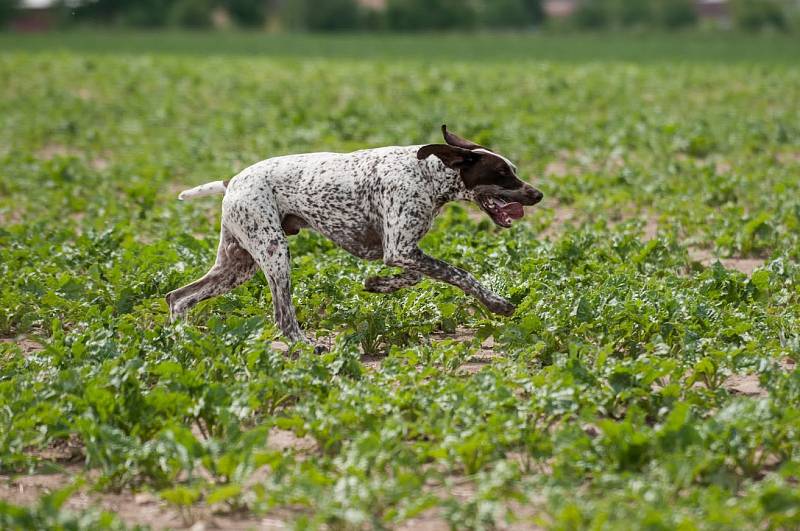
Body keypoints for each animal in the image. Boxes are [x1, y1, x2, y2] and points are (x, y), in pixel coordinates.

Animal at [168, 127, 544, 348]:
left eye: (512, 170)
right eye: (502, 173)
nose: (538, 194)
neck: (426, 174)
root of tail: (233, 180)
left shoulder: (401, 250)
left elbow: (413, 278)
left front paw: (377, 284)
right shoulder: (400, 249)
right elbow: (459, 274)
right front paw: (497, 303)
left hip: (237, 266)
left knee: (178, 297)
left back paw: (182, 341)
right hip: (275, 255)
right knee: (283, 318)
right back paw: (308, 346)